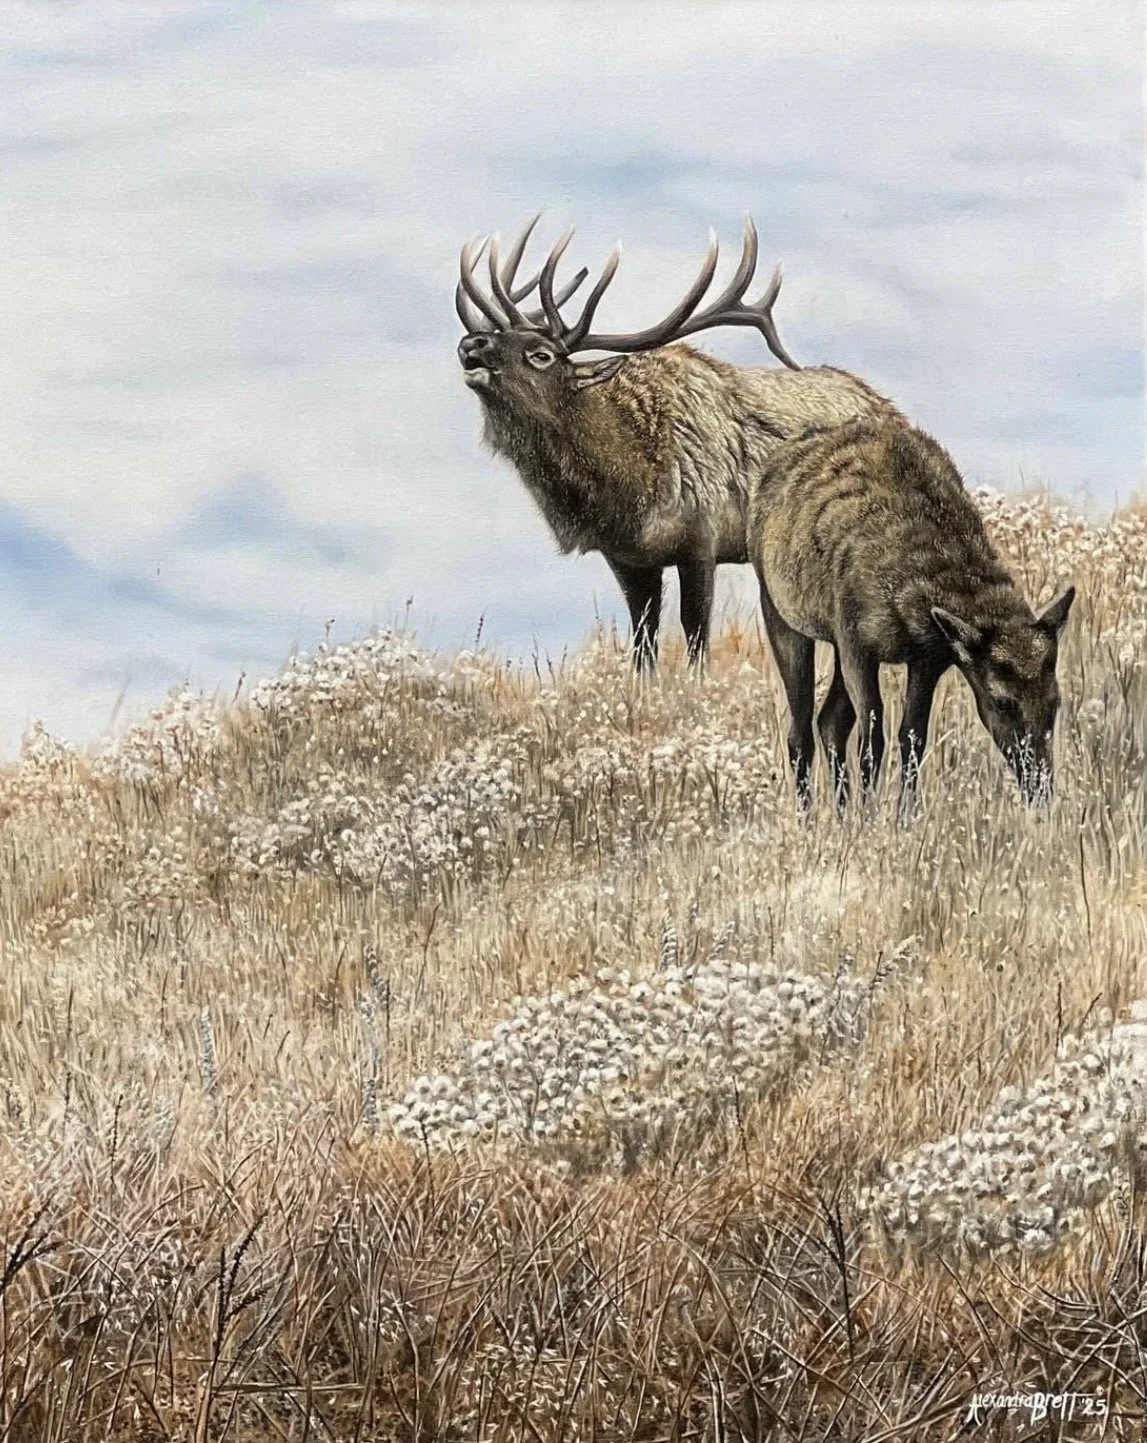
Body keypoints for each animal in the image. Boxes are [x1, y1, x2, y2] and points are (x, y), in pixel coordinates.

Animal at [455, 215, 902, 670]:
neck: (627, 490)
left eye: (541, 354)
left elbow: (695, 631)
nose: (473, 342)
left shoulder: (702, 537)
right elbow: (643, 637)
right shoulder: (628, 558)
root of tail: (887, 407)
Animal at [747, 417, 1076, 814]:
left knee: (830, 722)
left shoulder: (927, 658)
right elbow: (873, 737)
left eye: (1055, 701)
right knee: (800, 732)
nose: (1040, 790)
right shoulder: (856, 643)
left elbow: (912, 735)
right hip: (781, 613)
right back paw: (808, 816)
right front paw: (869, 817)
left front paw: (904, 815)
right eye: (1003, 701)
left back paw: (839, 812)